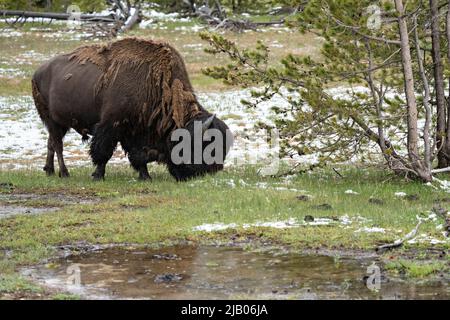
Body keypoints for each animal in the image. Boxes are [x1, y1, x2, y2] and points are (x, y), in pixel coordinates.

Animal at [32, 38, 232, 180]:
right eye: (205, 146)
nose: (212, 171)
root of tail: (38, 72)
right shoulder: (112, 125)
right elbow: (103, 151)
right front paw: (98, 175)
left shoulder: (134, 131)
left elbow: (137, 155)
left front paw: (145, 176)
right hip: (52, 120)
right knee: (58, 145)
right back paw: (64, 173)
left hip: (60, 123)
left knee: (51, 143)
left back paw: (49, 171)